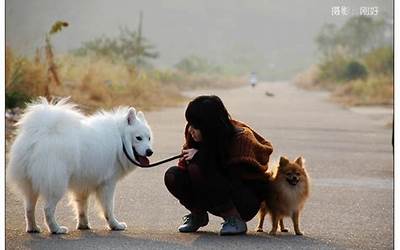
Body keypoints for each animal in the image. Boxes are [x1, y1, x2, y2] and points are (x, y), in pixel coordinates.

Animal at [8, 96, 155, 233]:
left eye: (148, 138)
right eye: (138, 138)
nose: (150, 152)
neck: (120, 139)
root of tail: (38, 136)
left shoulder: (83, 184)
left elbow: (82, 207)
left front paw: (83, 226)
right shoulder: (108, 183)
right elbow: (108, 208)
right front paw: (115, 225)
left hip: (30, 185)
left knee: (29, 208)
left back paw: (33, 228)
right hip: (56, 184)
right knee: (48, 209)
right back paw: (56, 229)